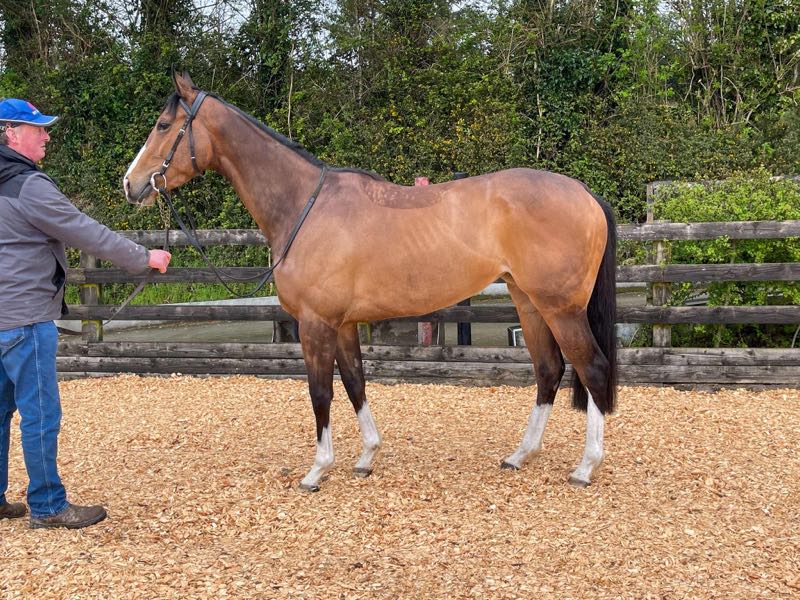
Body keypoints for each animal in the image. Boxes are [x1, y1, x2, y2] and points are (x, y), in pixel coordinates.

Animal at [123, 72, 618, 491]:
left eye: (163, 124)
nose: (131, 184)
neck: (305, 207)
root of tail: (585, 193)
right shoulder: (343, 324)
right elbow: (355, 383)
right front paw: (365, 458)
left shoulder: (315, 323)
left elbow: (320, 392)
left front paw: (317, 470)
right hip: (528, 300)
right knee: (549, 369)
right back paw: (521, 455)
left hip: (560, 307)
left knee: (591, 367)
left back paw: (585, 467)